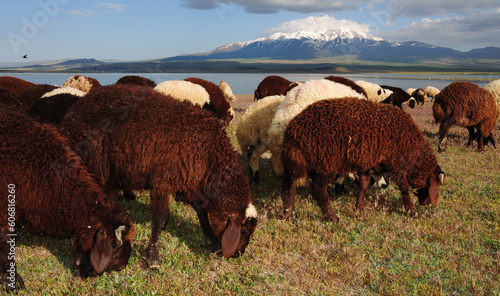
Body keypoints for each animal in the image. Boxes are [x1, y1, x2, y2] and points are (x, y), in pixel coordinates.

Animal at [60, 84, 258, 268]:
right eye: (244, 232)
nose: (238, 254)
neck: (209, 153)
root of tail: (75, 109)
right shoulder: (163, 182)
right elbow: (161, 219)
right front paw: (153, 256)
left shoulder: (188, 181)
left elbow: (200, 210)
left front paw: (212, 240)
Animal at [282, 99, 446, 222]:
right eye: (433, 184)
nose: (426, 203)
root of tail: (294, 131)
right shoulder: (396, 166)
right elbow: (404, 188)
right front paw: (411, 211)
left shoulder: (368, 163)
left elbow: (363, 186)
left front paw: (358, 211)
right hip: (327, 163)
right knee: (318, 188)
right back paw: (332, 217)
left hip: (299, 162)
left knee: (290, 184)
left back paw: (287, 212)